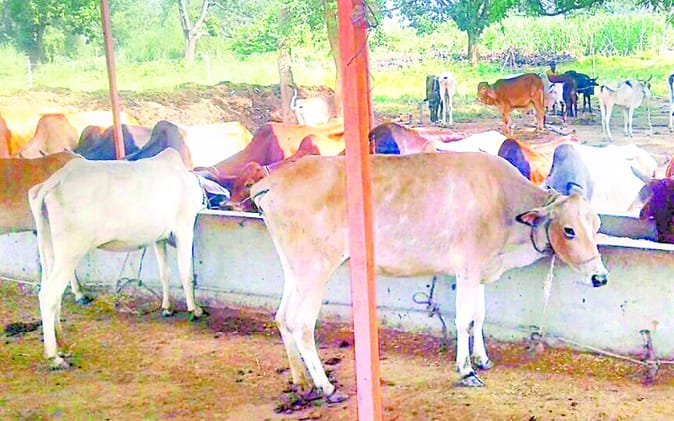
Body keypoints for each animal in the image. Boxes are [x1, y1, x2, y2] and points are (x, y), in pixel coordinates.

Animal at [28, 149, 206, 369]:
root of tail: (55, 180)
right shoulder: (185, 226)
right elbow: (185, 273)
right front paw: (195, 310)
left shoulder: (159, 238)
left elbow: (164, 272)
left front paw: (167, 307)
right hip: (70, 251)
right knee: (48, 294)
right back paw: (55, 356)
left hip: (50, 247)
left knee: (50, 291)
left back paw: (62, 344)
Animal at [251, 153, 608, 399]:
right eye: (569, 229)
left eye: (597, 224)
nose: (600, 278)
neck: (505, 207)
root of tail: (269, 181)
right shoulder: (468, 269)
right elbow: (464, 320)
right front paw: (466, 370)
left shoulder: (479, 270)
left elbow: (479, 316)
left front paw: (482, 358)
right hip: (315, 267)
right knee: (301, 323)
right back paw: (325, 386)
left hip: (294, 270)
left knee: (282, 316)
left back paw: (300, 379)